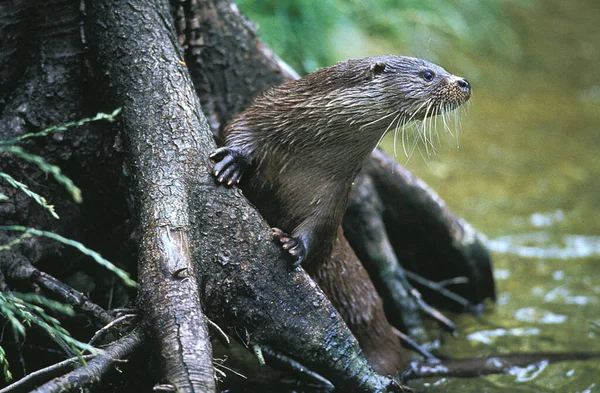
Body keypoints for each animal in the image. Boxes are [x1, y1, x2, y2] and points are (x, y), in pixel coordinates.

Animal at [212, 54, 474, 266]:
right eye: (428, 74)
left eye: (442, 68)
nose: (464, 83)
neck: (304, 154)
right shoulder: (268, 111)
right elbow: (240, 125)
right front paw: (233, 159)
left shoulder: (335, 193)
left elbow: (323, 226)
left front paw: (295, 245)